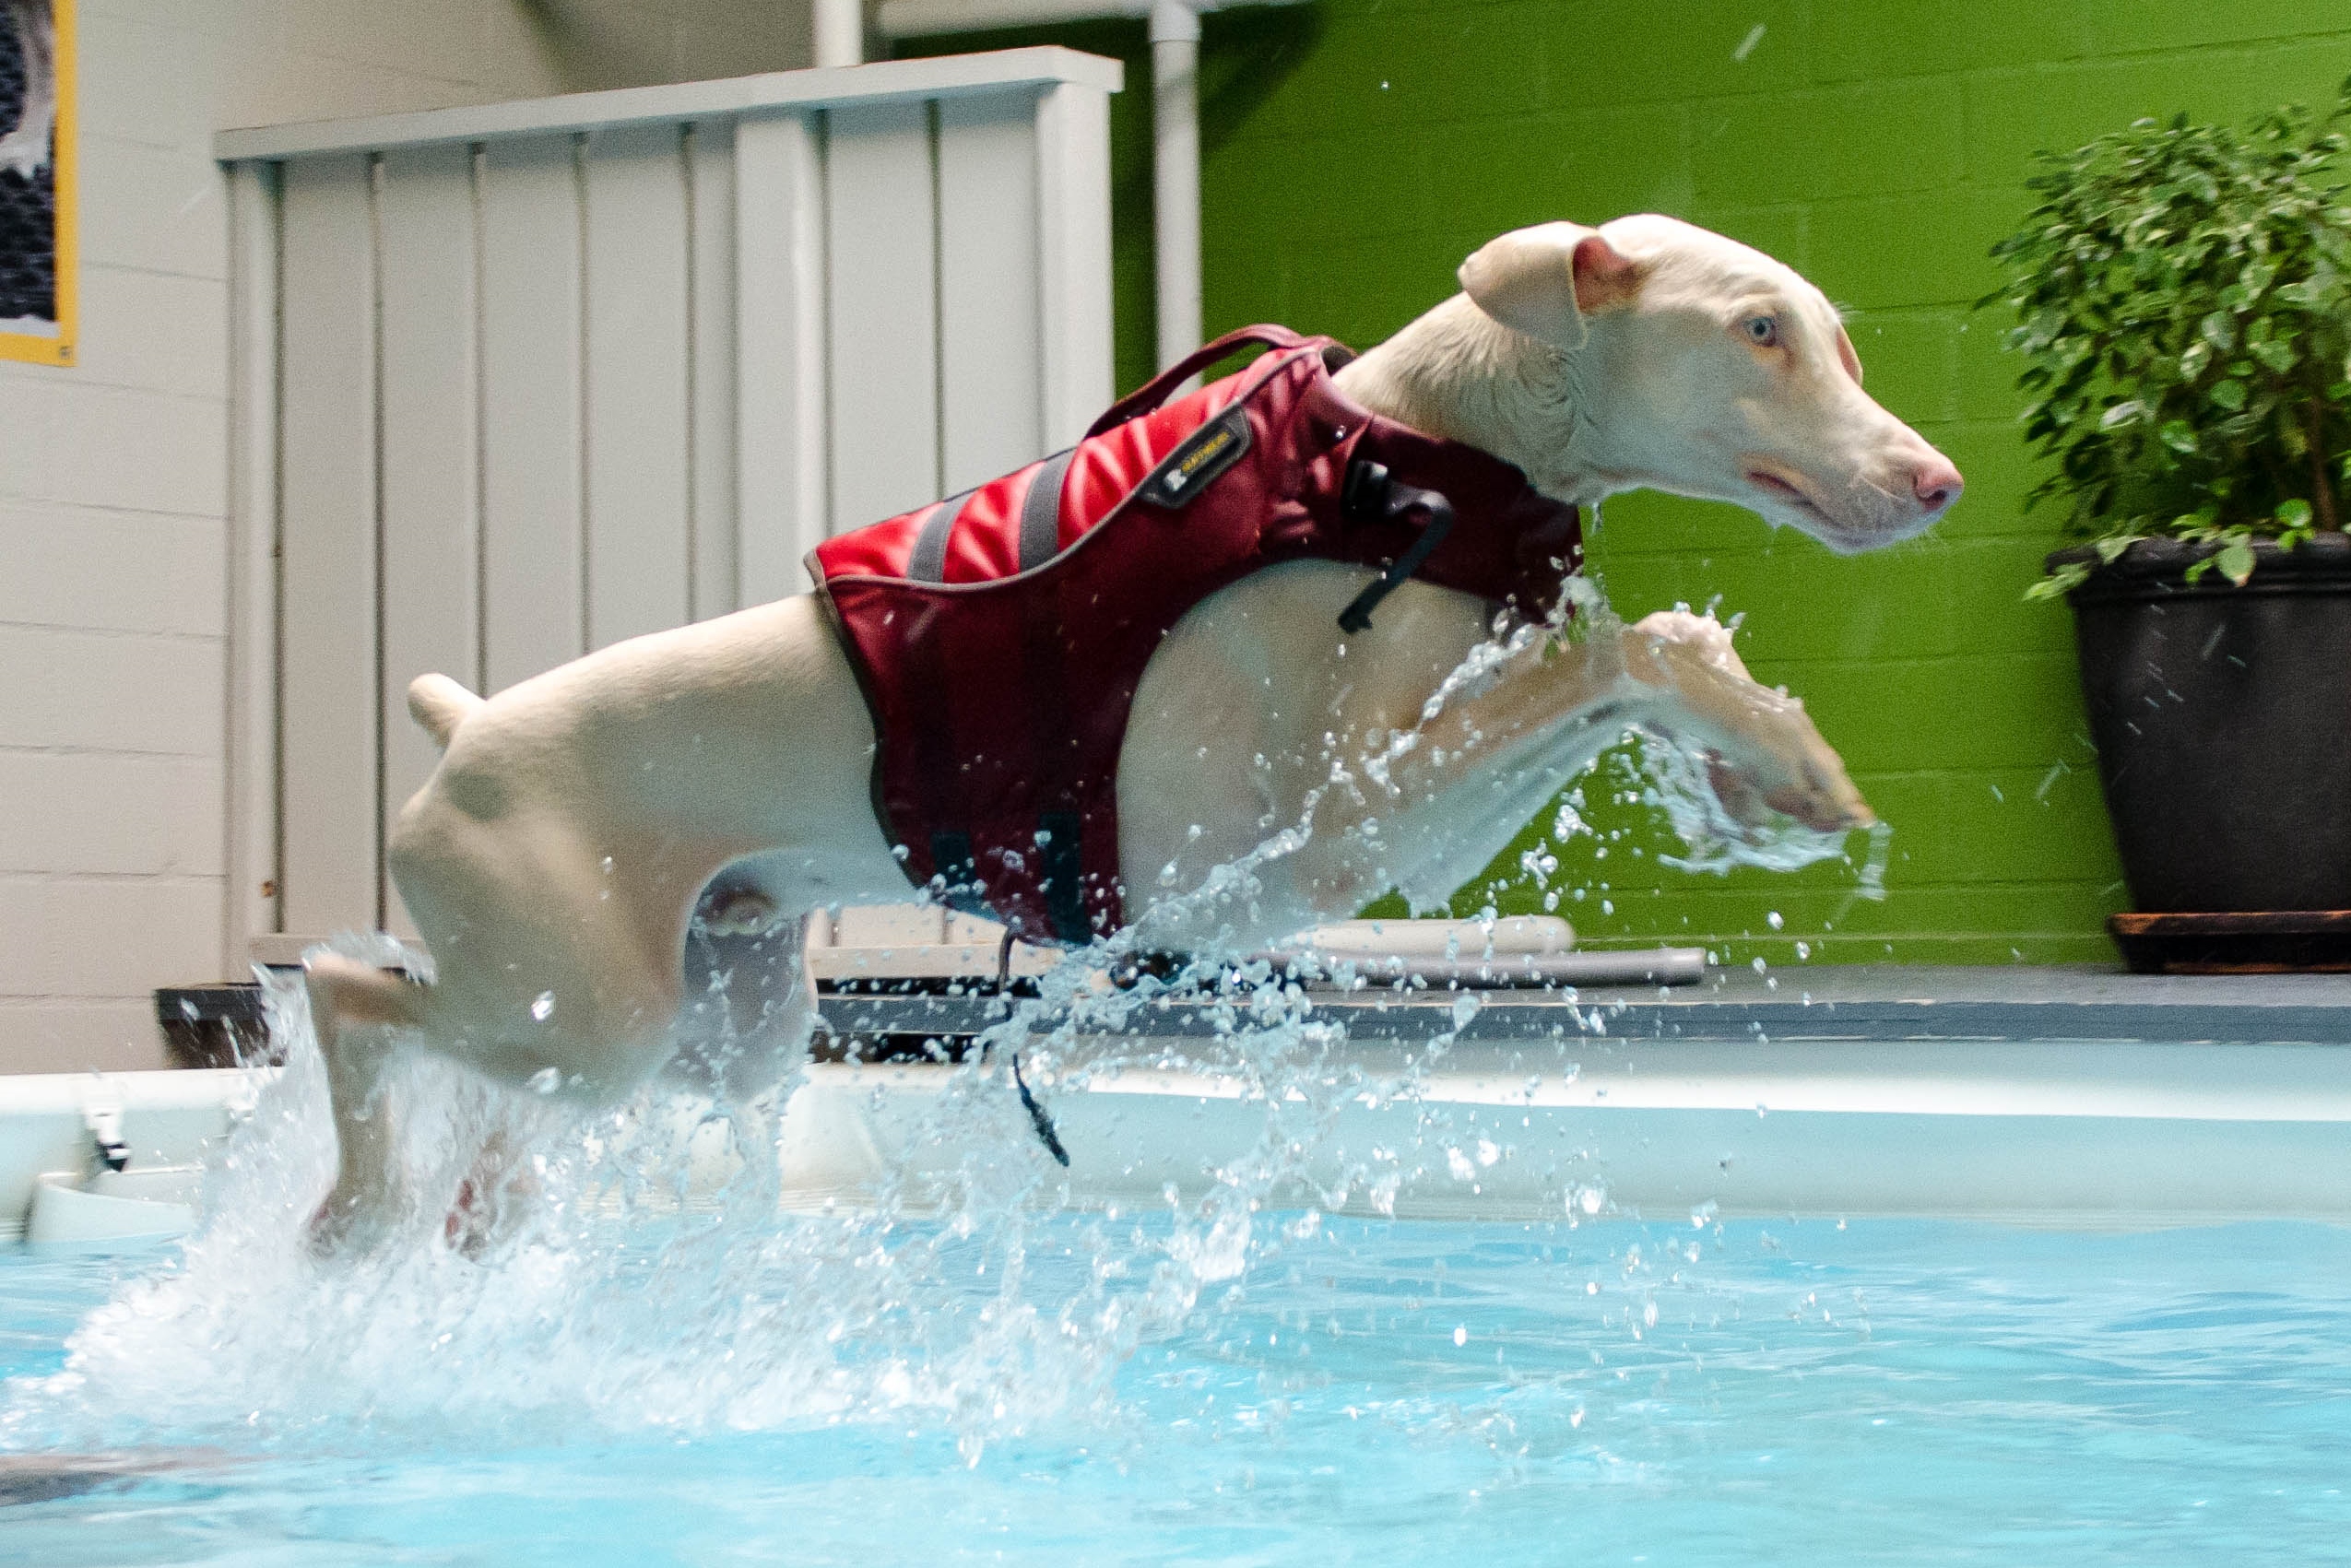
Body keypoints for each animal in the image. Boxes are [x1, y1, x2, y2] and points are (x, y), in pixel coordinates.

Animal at [308, 217, 1965, 1250]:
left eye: (1841, 343)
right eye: (1758, 331)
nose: (1937, 482)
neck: (1403, 458)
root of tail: (464, 730)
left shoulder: (1422, 830)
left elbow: (1626, 670)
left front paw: (1758, 774)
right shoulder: (1337, 829)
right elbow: (1639, 645)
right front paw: (1779, 753)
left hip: (719, 1021)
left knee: (508, 1094)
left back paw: (478, 1218)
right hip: (589, 1010)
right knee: (344, 991)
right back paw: (350, 1211)